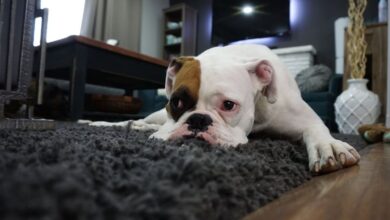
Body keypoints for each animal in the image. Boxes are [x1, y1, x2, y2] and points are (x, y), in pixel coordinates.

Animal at [90, 43, 362, 173]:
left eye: (229, 105)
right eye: (176, 102)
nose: (198, 120)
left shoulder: (307, 119)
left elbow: (317, 131)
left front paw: (329, 147)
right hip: (156, 116)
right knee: (140, 122)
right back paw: (104, 123)